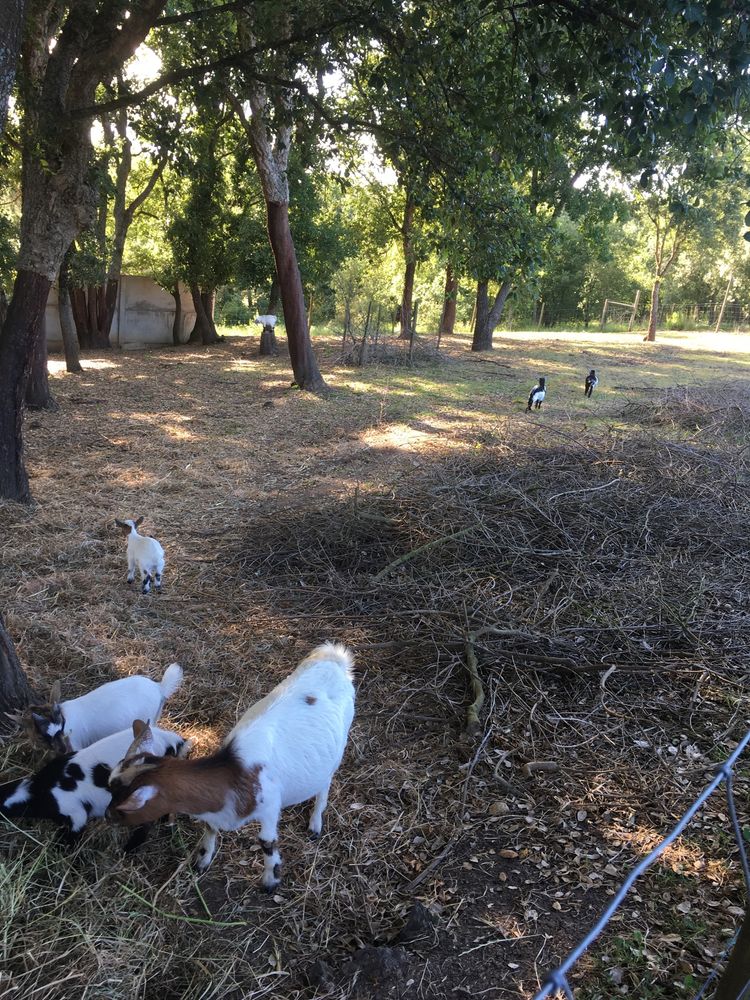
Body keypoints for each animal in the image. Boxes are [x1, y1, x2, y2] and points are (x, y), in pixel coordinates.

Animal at [0, 724, 187, 848]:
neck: (40, 790)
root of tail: (169, 739)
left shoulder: (74, 810)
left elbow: (75, 829)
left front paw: (62, 847)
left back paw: (130, 847)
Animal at [29, 660, 184, 752]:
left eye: (60, 729)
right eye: (45, 735)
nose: (59, 749)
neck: (65, 717)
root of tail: (160, 687)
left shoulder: (76, 743)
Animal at [106, 644, 358, 888]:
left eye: (124, 806)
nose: (107, 816)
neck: (234, 771)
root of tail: (333, 657)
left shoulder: (270, 807)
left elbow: (267, 842)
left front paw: (271, 880)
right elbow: (210, 827)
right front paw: (202, 861)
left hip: (338, 748)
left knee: (324, 785)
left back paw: (315, 823)